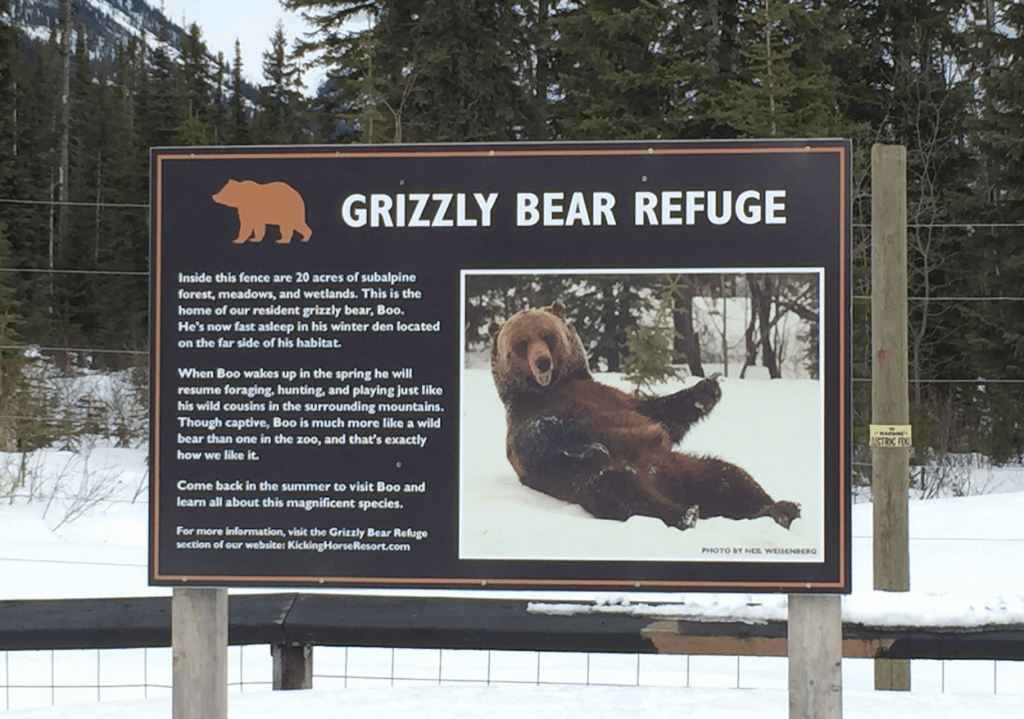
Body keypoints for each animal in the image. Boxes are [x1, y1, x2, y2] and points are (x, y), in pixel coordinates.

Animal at [487, 301, 798, 532]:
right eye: (521, 343)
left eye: (547, 336)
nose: (542, 362)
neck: (555, 386)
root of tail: (668, 485)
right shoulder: (530, 419)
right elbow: (545, 439)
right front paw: (589, 445)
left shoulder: (614, 399)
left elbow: (661, 414)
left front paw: (707, 388)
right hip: (612, 472)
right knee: (615, 488)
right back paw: (684, 514)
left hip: (683, 465)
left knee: (730, 476)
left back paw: (780, 509)